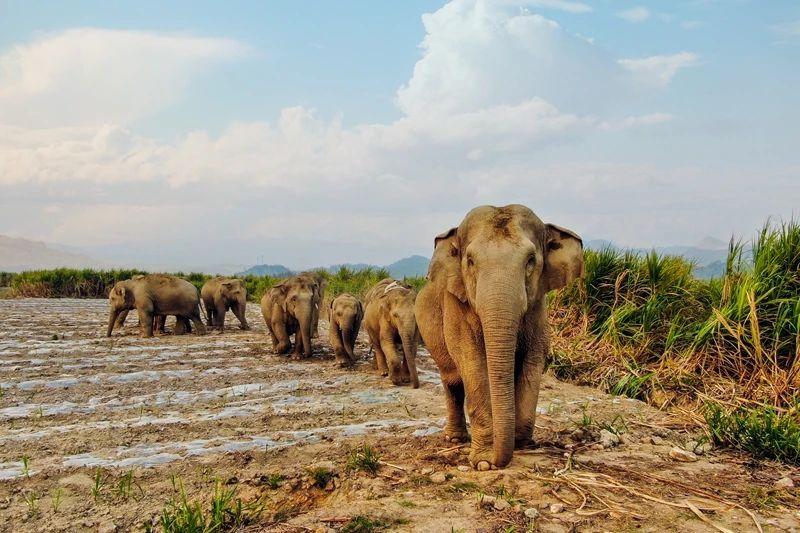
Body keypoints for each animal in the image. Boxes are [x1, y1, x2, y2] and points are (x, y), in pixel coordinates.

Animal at [416, 204, 584, 470]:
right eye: (470, 261)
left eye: (531, 260)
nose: (498, 460)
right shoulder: (456, 305)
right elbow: (471, 361)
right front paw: (484, 462)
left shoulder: (538, 309)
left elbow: (534, 359)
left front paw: (521, 443)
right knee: (452, 381)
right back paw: (455, 439)